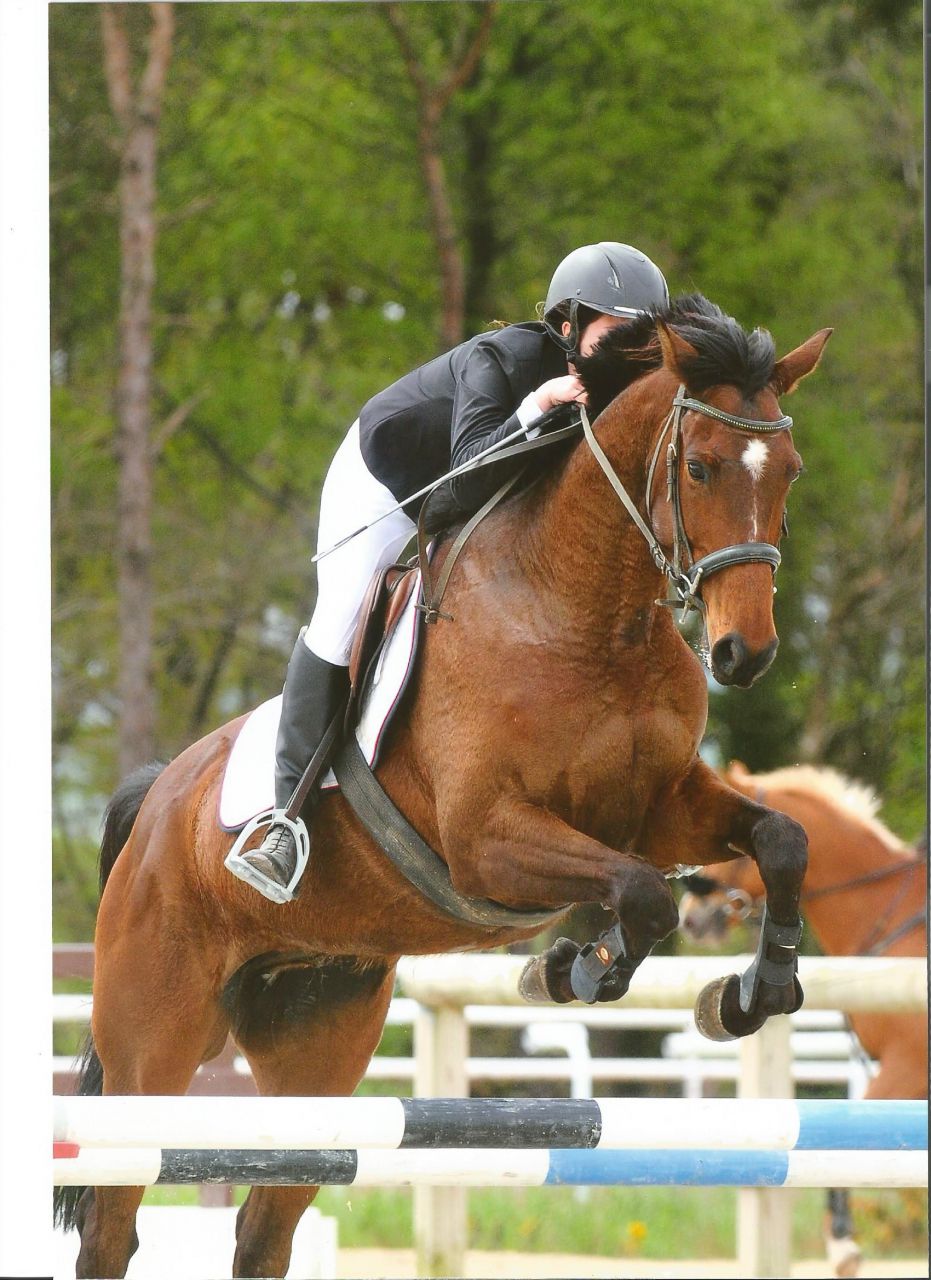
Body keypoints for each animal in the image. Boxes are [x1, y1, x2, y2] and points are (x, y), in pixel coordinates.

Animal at [55, 296, 831, 1278]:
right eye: (698, 466)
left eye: (790, 472)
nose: (743, 653)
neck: (584, 614)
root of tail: (158, 802)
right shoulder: (486, 841)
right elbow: (644, 895)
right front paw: (575, 968)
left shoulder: (657, 810)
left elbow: (779, 841)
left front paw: (749, 994)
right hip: (149, 1048)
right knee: (111, 1225)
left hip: (316, 1045)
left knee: (265, 1225)